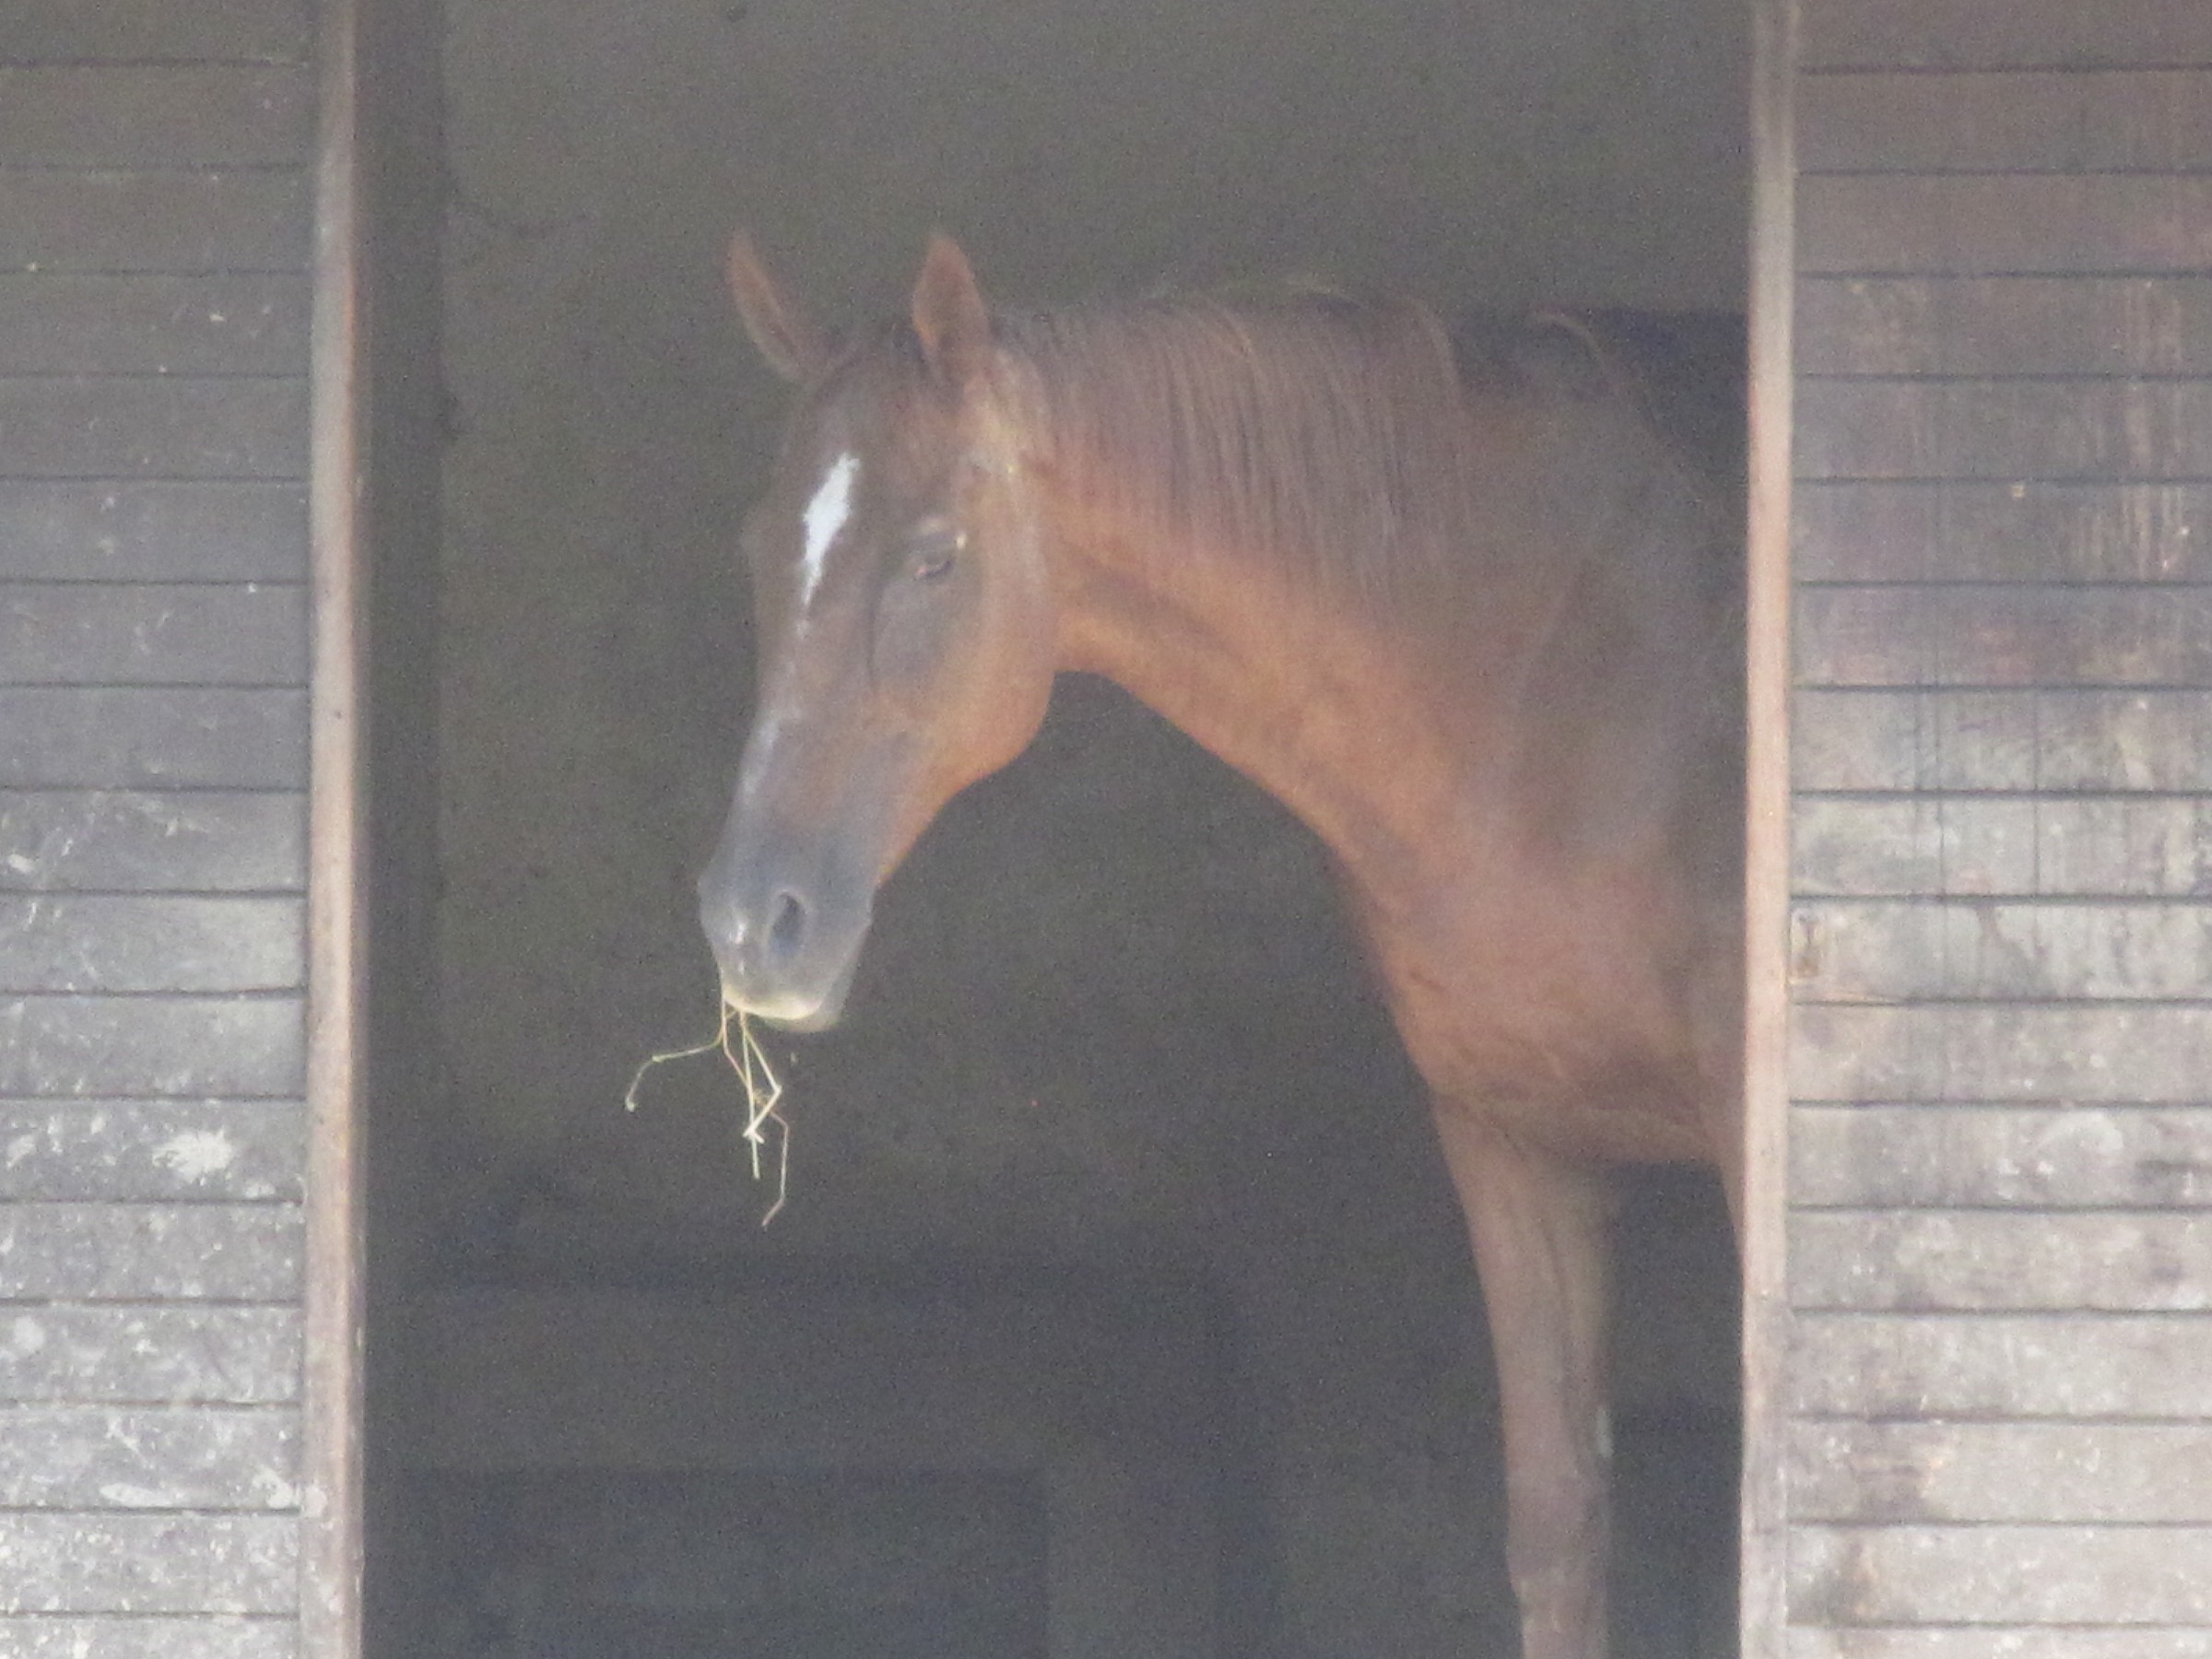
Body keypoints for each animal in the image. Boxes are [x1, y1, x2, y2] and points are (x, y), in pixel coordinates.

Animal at [694, 232, 1745, 1659]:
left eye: (936, 561)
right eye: (759, 548)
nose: (755, 923)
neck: (1561, 675)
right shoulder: (1513, 1141)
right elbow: (1559, 1529)